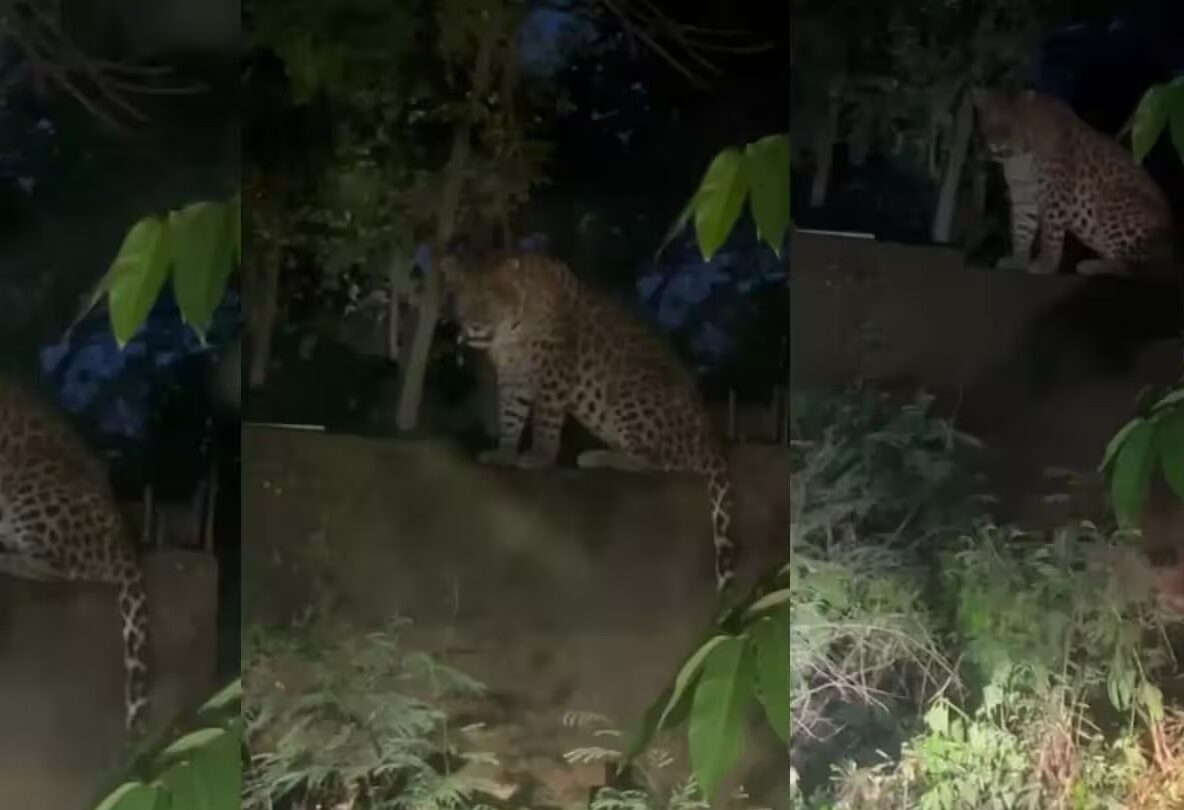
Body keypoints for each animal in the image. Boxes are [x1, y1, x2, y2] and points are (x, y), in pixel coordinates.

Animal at [440, 251, 738, 594]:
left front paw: (540, 456)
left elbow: (546, 419)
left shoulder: (554, 367)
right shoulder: (513, 375)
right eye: (463, 300)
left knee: (661, 462)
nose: (473, 327)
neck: (513, 332)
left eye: (489, 300)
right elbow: (510, 415)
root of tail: (711, 439)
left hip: (631, 389)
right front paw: (504, 451)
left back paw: (596, 456)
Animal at [972, 87, 1176, 278]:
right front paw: (1018, 260)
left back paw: (1091, 266)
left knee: (1129, 266)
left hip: (1112, 202)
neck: (1018, 158)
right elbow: (1022, 230)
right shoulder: (1024, 197)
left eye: (1008, 124)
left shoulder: (1056, 192)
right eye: (989, 121)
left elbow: (1051, 232)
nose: (995, 144)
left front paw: (1046, 263)